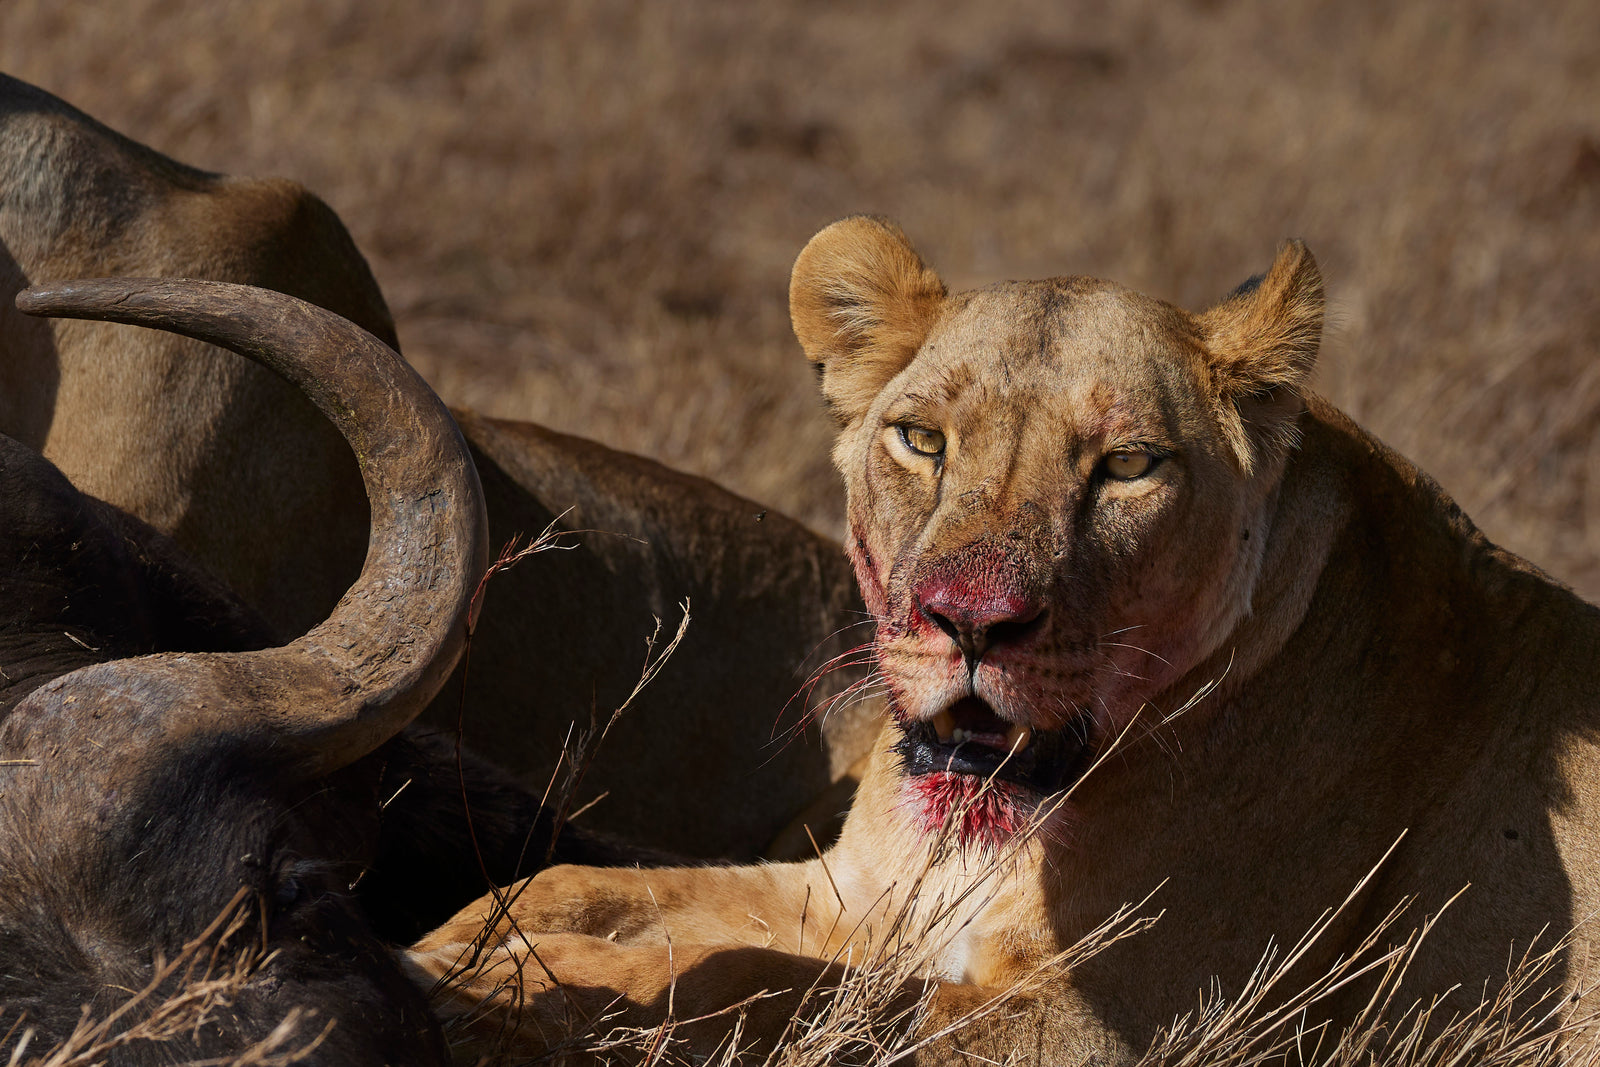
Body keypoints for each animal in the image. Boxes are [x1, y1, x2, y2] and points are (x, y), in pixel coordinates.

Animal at [407, 216, 1600, 1063]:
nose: (969, 621)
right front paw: (456, 943)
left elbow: (750, 981)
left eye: (1128, 465)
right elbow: (593, 885)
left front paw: (502, 983)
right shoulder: (854, 895)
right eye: (921, 439)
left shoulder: (1126, 1028)